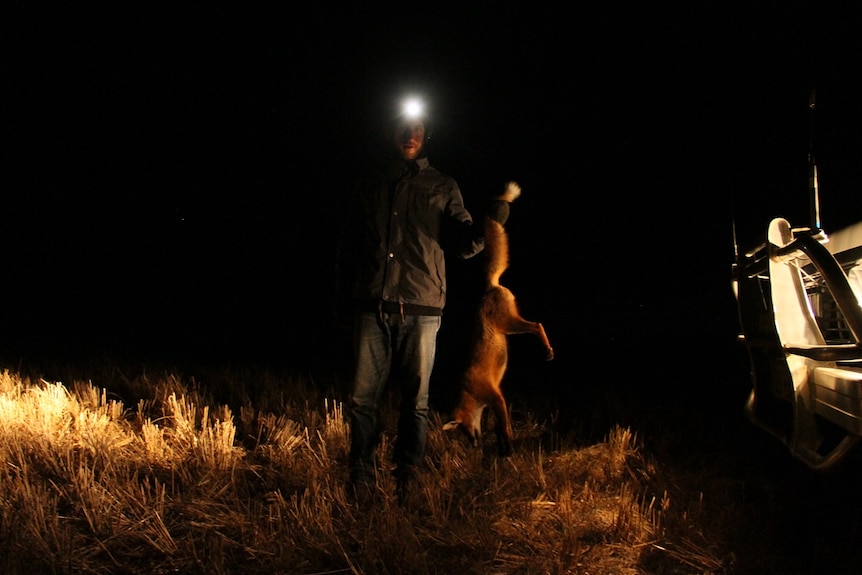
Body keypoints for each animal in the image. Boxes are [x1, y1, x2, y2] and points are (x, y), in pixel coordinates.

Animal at [442, 182, 556, 456]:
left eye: (464, 430)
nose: (473, 444)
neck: (470, 391)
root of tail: (490, 286)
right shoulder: (493, 402)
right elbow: (498, 428)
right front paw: (504, 448)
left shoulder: (497, 397)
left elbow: (503, 428)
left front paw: (508, 450)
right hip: (510, 327)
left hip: (511, 324)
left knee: (537, 325)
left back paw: (548, 350)